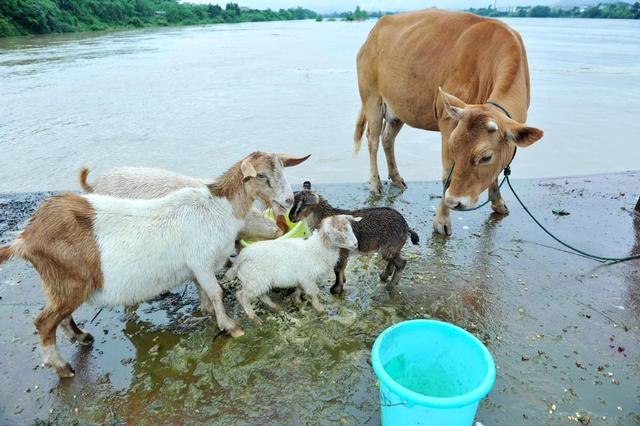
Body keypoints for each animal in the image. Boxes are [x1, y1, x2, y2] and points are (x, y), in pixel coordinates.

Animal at [0, 151, 310, 378]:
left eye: (283, 170)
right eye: (261, 175)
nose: (288, 200)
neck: (218, 208)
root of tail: (26, 238)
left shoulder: (199, 266)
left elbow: (206, 291)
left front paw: (209, 313)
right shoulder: (201, 260)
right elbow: (217, 292)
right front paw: (230, 326)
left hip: (61, 283)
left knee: (60, 317)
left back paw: (82, 336)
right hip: (70, 283)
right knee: (43, 322)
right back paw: (63, 367)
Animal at [226, 215, 360, 324]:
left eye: (350, 227)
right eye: (338, 231)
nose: (355, 244)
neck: (319, 248)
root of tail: (240, 259)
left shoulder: (303, 279)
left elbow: (299, 289)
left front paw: (297, 300)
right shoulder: (308, 279)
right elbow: (314, 293)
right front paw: (320, 309)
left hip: (258, 281)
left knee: (261, 295)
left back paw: (274, 306)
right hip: (255, 280)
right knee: (242, 295)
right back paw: (254, 318)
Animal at [352, 9, 544, 236]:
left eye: (486, 157)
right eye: (453, 147)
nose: (455, 201)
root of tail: (374, 31)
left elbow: (496, 172)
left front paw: (498, 203)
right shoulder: (447, 122)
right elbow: (447, 176)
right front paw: (442, 221)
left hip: (399, 108)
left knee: (387, 138)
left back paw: (396, 178)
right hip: (372, 97)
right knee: (372, 140)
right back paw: (375, 184)